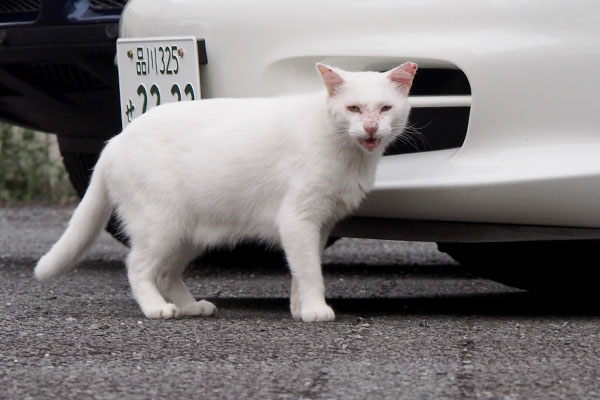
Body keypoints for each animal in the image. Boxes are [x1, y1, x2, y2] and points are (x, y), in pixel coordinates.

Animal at [34, 62, 418, 322]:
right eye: (353, 108)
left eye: (385, 108)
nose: (371, 127)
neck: (349, 153)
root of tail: (114, 140)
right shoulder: (298, 219)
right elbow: (310, 271)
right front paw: (314, 309)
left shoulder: (319, 225)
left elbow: (301, 270)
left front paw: (298, 307)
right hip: (162, 226)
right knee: (138, 267)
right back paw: (157, 308)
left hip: (188, 234)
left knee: (166, 272)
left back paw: (191, 307)